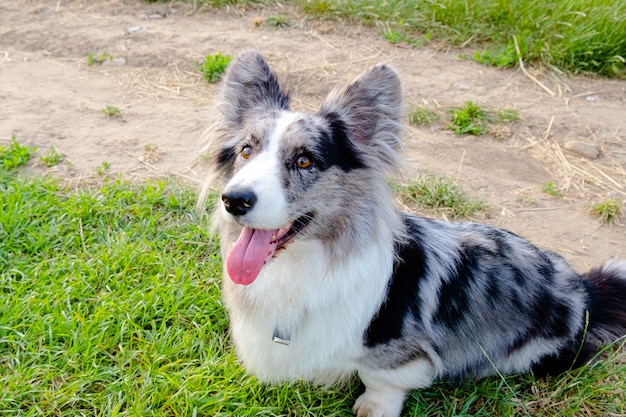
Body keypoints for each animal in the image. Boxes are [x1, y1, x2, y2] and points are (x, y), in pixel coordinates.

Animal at [199, 50, 624, 414]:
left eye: (304, 160)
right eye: (247, 151)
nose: (234, 200)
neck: (300, 264)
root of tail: (585, 290)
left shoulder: (393, 350)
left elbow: (382, 379)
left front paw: (373, 407)